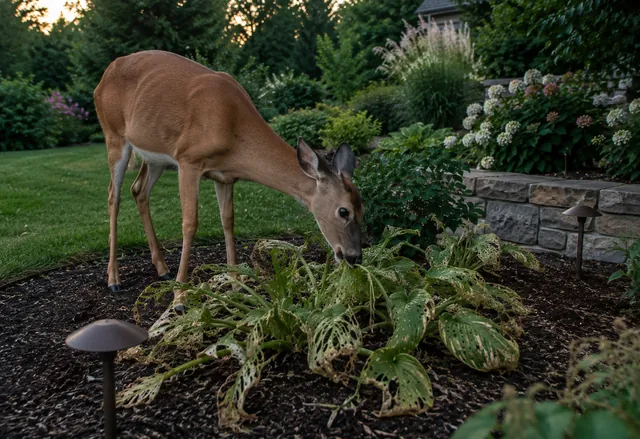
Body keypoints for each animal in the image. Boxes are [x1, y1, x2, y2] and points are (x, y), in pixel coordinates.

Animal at [94, 50, 364, 311]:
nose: (354, 257)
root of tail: (103, 77)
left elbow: (228, 220)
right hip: (114, 136)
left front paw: (236, 285)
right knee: (113, 196)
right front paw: (180, 298)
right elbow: (190, 223)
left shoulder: (225, 177)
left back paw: (162, 269)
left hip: (154, 156)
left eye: (363, 209)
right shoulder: (188, 161)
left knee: (138, 190)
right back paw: (114, 279)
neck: (233, 129)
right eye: (343, 211)